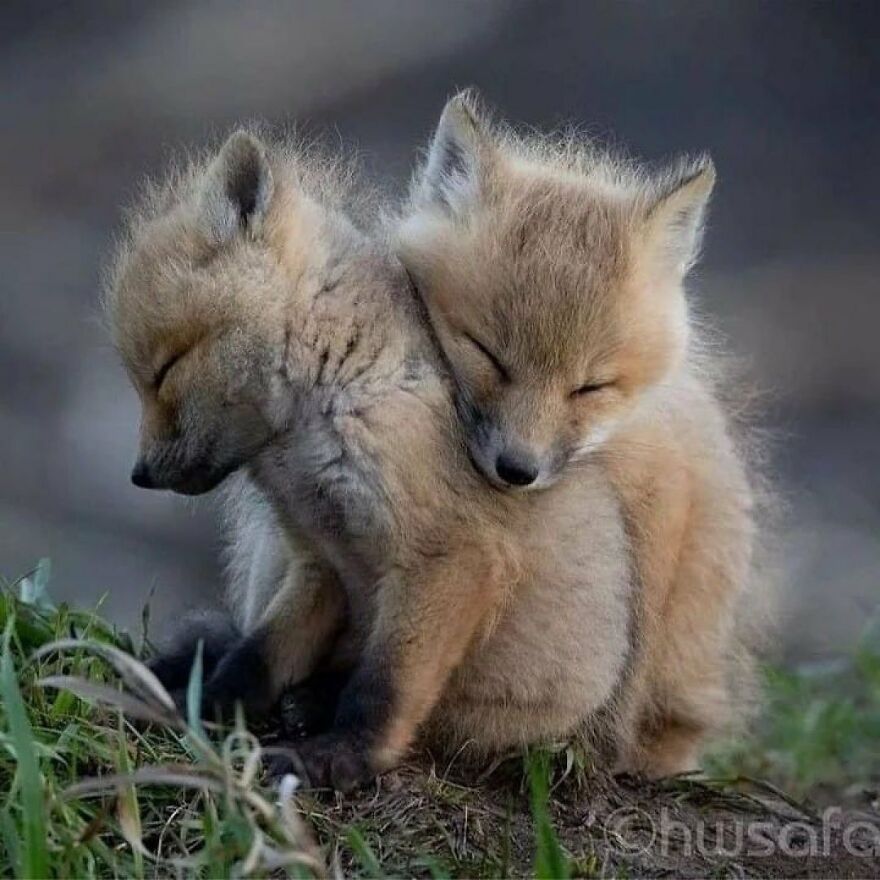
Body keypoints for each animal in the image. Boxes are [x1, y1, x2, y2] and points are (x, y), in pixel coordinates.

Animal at [106, 129, 637, 790]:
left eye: (164, 370)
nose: (139, 475)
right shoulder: (321, 562)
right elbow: (255, 657)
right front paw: (202, 709)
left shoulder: (450, 557)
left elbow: (382, 690)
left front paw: (343, 756)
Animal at [393, 91, 765, 776]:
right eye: (487, 355)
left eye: (590, 388)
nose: (517, 470)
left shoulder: (665, 503)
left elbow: (632, 658)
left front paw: (600, 754)